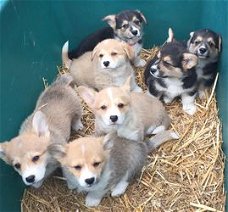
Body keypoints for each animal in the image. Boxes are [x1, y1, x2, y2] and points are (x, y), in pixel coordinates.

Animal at [49, 130, 179, 206]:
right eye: (77, 167)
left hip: (133, 163)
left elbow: (97, 192)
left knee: (126, 179)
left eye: (97, 163)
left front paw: (91, 201)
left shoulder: (105, 182)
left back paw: (117, 190)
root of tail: (142, 145)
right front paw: (72, 185)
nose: (90, 180)